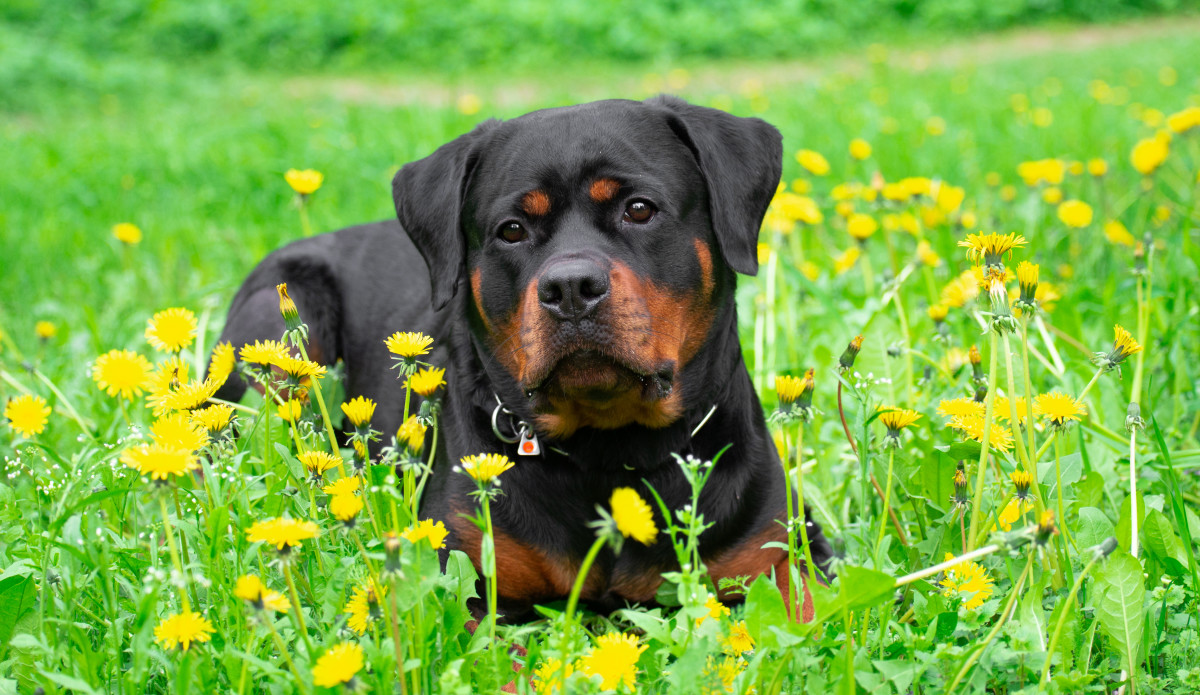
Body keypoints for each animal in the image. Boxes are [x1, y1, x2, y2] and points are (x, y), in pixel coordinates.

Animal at [216, 95, 830, 624]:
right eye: (512, 230)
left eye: (638, 209)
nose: (570, 287)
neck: (608, 451)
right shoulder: (464, 573)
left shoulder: (782, 548)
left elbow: (804, 607)